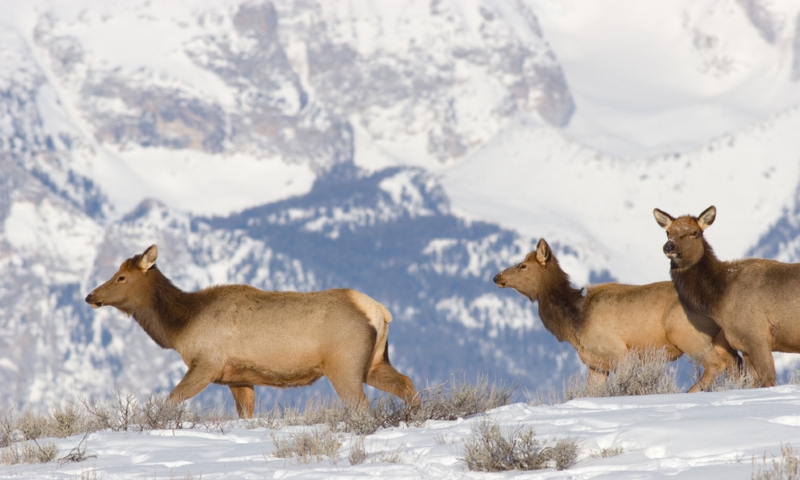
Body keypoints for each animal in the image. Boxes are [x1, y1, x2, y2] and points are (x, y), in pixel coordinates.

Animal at [85, 245, 417, 418]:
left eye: (121, 277)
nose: (90, 296)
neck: (180, 328)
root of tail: (379, 311)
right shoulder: (238, 377)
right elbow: (246, 412)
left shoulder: (207, 362)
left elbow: (171, 399)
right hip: (374, 361)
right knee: (405, 382)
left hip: (344, 364)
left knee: (362, 405)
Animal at [493, 238, 740, 391]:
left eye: (523, 266)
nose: (497, 276)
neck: (575, 322)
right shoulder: (596, 365)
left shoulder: (619, 353)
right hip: (721, 339)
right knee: (736, 365)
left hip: (686, 334)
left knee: (716, 365)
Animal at [654, 205, 800, 387]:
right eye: (668, 232)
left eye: (694, 232)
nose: (669, 246)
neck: (720, 299)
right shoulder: (743, 344)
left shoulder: (757, 336)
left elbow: (768, 379)